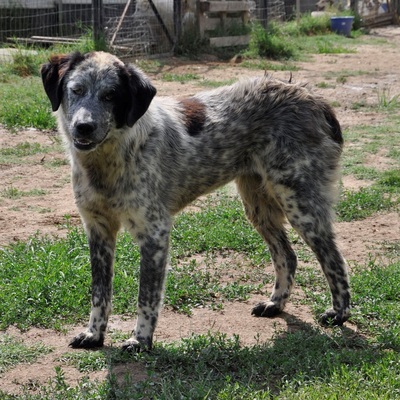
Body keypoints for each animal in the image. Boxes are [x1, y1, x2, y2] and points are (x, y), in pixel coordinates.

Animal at [39, 51, 348, 352]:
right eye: (76, 90)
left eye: (111, 95)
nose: (83, 127)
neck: (107, 163)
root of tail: (311, 96)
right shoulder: (98, 230)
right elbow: (99, 293)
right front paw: (94, 334)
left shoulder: (154, 232)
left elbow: (146, 297)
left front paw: (141, 339)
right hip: (258, 207)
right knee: (288, 255)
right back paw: (276, 303)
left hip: (300, 205)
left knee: (334, 258)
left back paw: (339, 313)